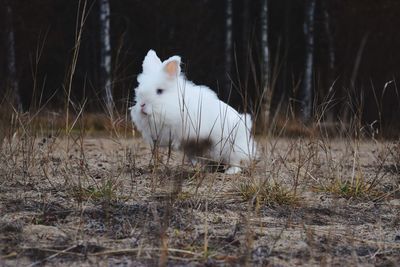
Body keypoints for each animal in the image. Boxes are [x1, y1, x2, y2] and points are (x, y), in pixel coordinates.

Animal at [130, 50, 258, 175]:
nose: (142, 105)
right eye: (139, 90)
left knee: (236, 161)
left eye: (159, 91)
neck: (174, 103)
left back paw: (231, 171)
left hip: (232, 148)